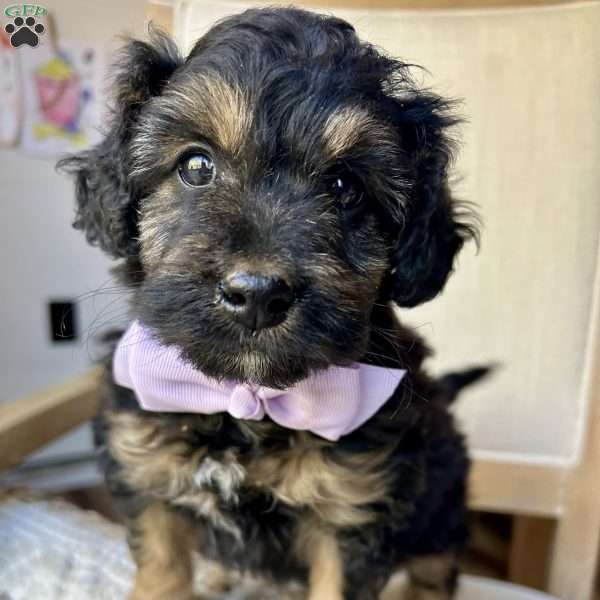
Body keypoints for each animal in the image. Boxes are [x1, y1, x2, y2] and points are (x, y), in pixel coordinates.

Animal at [58, 5, 480, 600]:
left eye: (345, 187)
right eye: (196, 166)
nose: (257, 293)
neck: (245, 403)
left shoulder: (351, 507)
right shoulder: (149, 471)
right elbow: (162, 570)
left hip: (442, 499)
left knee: (435, 565)